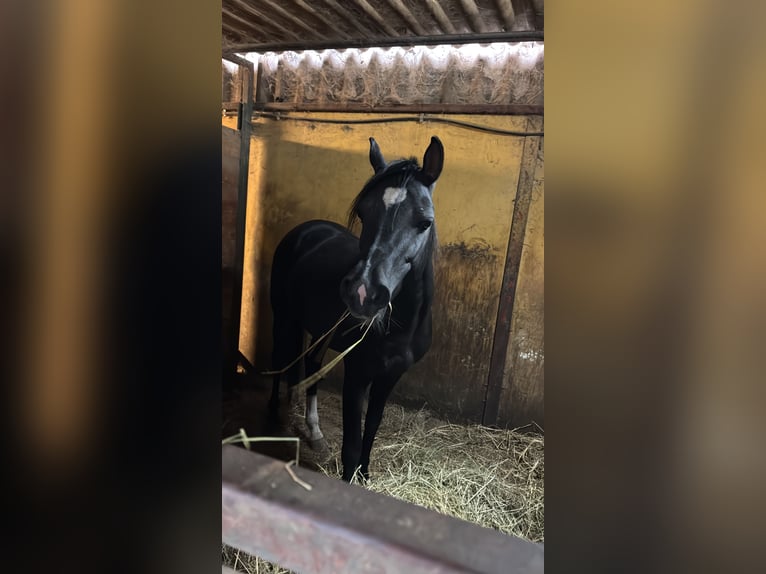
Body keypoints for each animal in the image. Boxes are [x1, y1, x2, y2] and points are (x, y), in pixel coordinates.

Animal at [268, 136, 444, 482]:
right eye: (363, 213)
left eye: (425, 222)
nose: (363, 292)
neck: (401, 328)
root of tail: (307, 230)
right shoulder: (357, 373)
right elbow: (351, 440)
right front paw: (351, 478)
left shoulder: (390, 376)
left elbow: (372, 425)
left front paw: (364, 474)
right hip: (284, 318)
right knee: (280, 360)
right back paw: (272, 418)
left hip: (320, 332)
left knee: (311, 364)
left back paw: (315, 433)